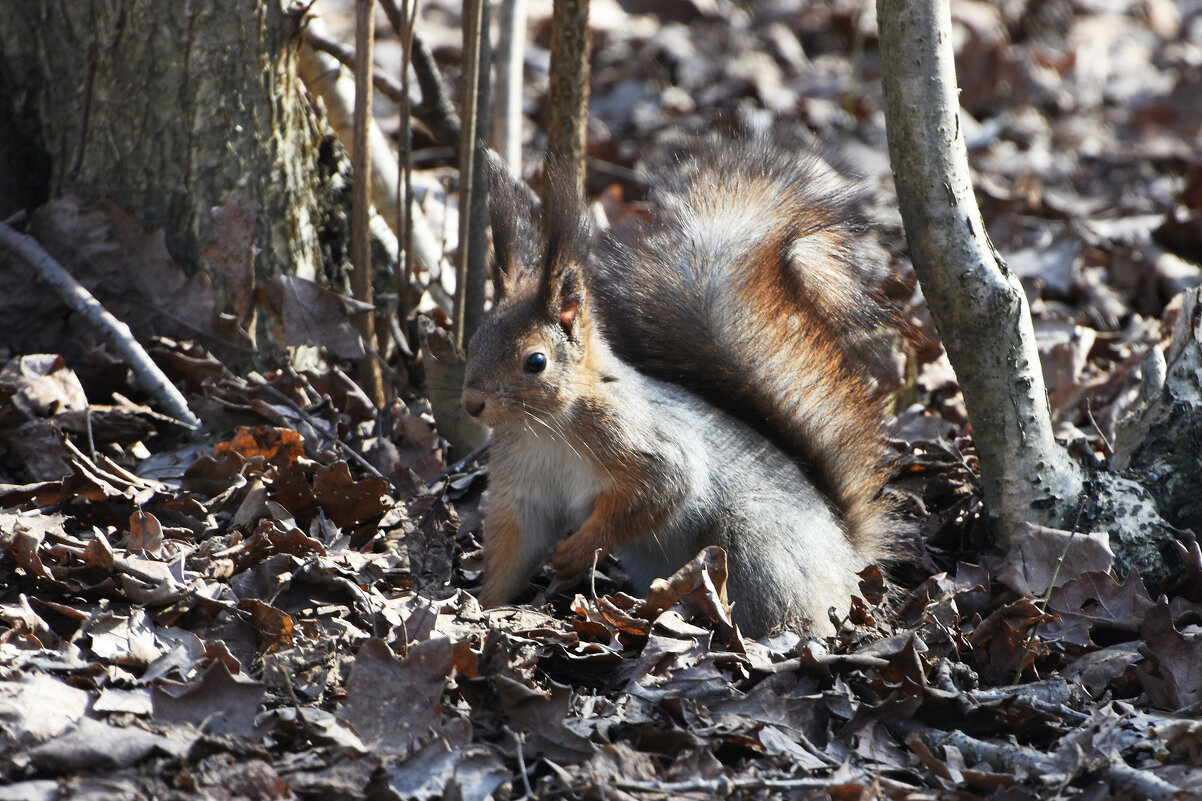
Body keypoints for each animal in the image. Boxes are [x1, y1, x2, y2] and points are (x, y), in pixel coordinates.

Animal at [459, 138, 903, 635]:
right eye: (475, 340)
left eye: (536, 361)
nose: (472, 403)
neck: (545, 426)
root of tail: (849, 563)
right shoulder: (522, 488)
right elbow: (514, 548)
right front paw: (484, 606)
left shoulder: (642, 442)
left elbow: (662, 489)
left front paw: (575, 552)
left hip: (755, 550)